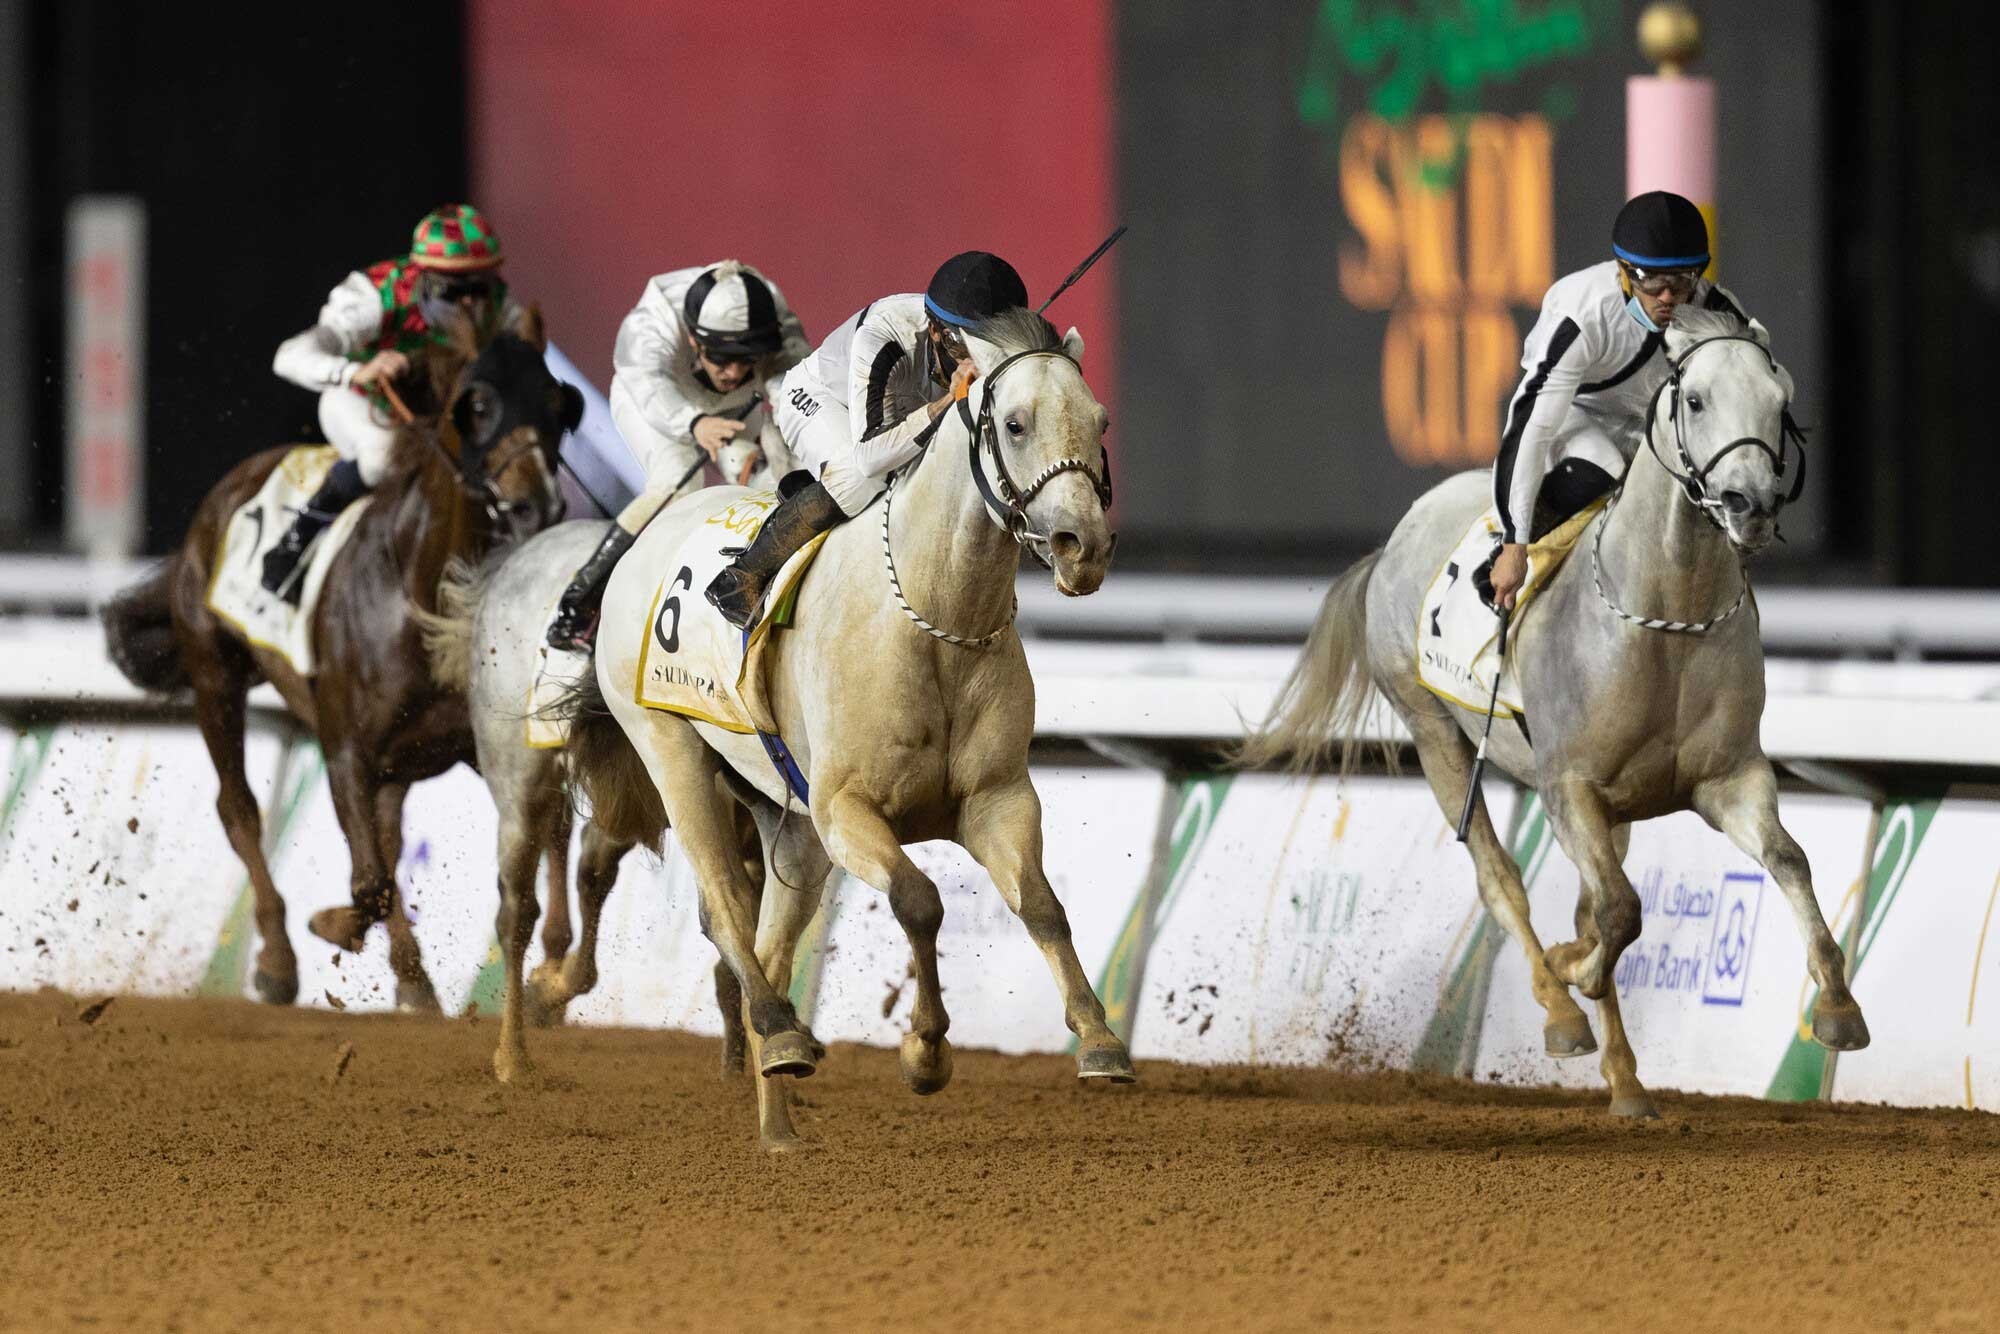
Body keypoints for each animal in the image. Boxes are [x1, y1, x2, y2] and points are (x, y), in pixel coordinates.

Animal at [572, 310, 1136, 1152]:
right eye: (1014, 422)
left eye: (1098, 420)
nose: (1083, 546)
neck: (934, 617)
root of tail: (649, 534)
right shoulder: (847, 810)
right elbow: (920, 901)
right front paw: (925, 1052)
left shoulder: (997, 798)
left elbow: (1042, 905)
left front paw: (1100, 1041)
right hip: (671, 749)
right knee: (725, 907)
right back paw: (782, 1031)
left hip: (788, 819)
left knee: (767, 940)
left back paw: (780, 1117)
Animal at [1240, 310, 1864, 1120]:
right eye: (1695, 399)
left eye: (1779, 397)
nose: (1750, 506)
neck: (1665, 616)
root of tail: (1398, 537)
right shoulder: (1568, 789)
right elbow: (1617, 913)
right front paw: (1572, 974)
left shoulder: (1728, 778)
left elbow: (1784, 860)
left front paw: (1839, 1007)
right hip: (1435, 736)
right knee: (1501, 880)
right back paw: (1564, 1011)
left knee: (1587, 901)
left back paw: (1627, 1082)